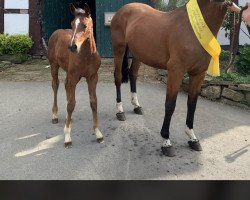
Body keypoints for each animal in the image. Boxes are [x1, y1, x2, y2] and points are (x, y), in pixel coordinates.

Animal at [47, 3, 103, 147]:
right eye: (72, 24)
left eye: (85, 25)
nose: (72, 47)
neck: (87, 56)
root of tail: (56, 32)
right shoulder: (73, 76)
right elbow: (71, 104)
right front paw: (67, 137)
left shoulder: (93, 77)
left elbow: (93, 102)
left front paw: (98, 133)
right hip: (54, 66)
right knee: (55, 85)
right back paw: (54, 115)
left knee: (66, 88)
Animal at [112, 0, 240, 156]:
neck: (191, 30)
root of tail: (124, 9)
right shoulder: (176, 72)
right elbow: (170, 105)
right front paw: (166, 141)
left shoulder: (198, 74)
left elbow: (192, 104)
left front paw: (192, 137)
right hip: (119, 48)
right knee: (118, 77)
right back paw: (120, 111)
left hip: (138, 53)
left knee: (133, 74)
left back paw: (137, 106)